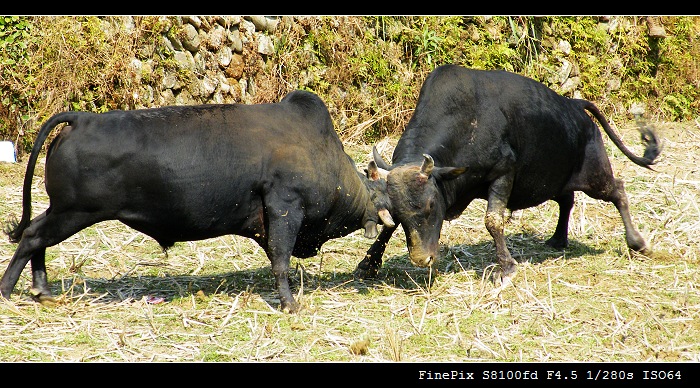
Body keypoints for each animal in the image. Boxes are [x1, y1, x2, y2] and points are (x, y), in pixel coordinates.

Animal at [0, 89, 394, 314]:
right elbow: (281, 261)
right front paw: (290, 305)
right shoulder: (285, 208)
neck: (321, 150)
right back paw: (9, 290)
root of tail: (81, 119)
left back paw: (42, 290)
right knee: (32, 236)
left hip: (62, 210)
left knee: (35, 236)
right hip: (73, 212)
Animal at [356, 63, 660, 282]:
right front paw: (368, 263)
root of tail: (575, 106)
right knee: (567, 200)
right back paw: (558, 239)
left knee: (618, 190)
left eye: (431, 206)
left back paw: (637, 243)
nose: (422, 259)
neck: (467, 121)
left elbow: (493, 221)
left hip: (596, 178)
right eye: (400, 211)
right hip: (558, 181)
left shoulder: (503, 173)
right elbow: (389, 225)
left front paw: (506, 267)